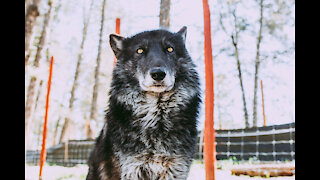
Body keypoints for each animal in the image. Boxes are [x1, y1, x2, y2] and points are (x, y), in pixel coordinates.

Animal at [85, 26, 200, 180]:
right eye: (139, 51)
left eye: (170, 49)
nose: (158, 74)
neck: (157, 122)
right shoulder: (131, 169)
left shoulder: (174, 170)